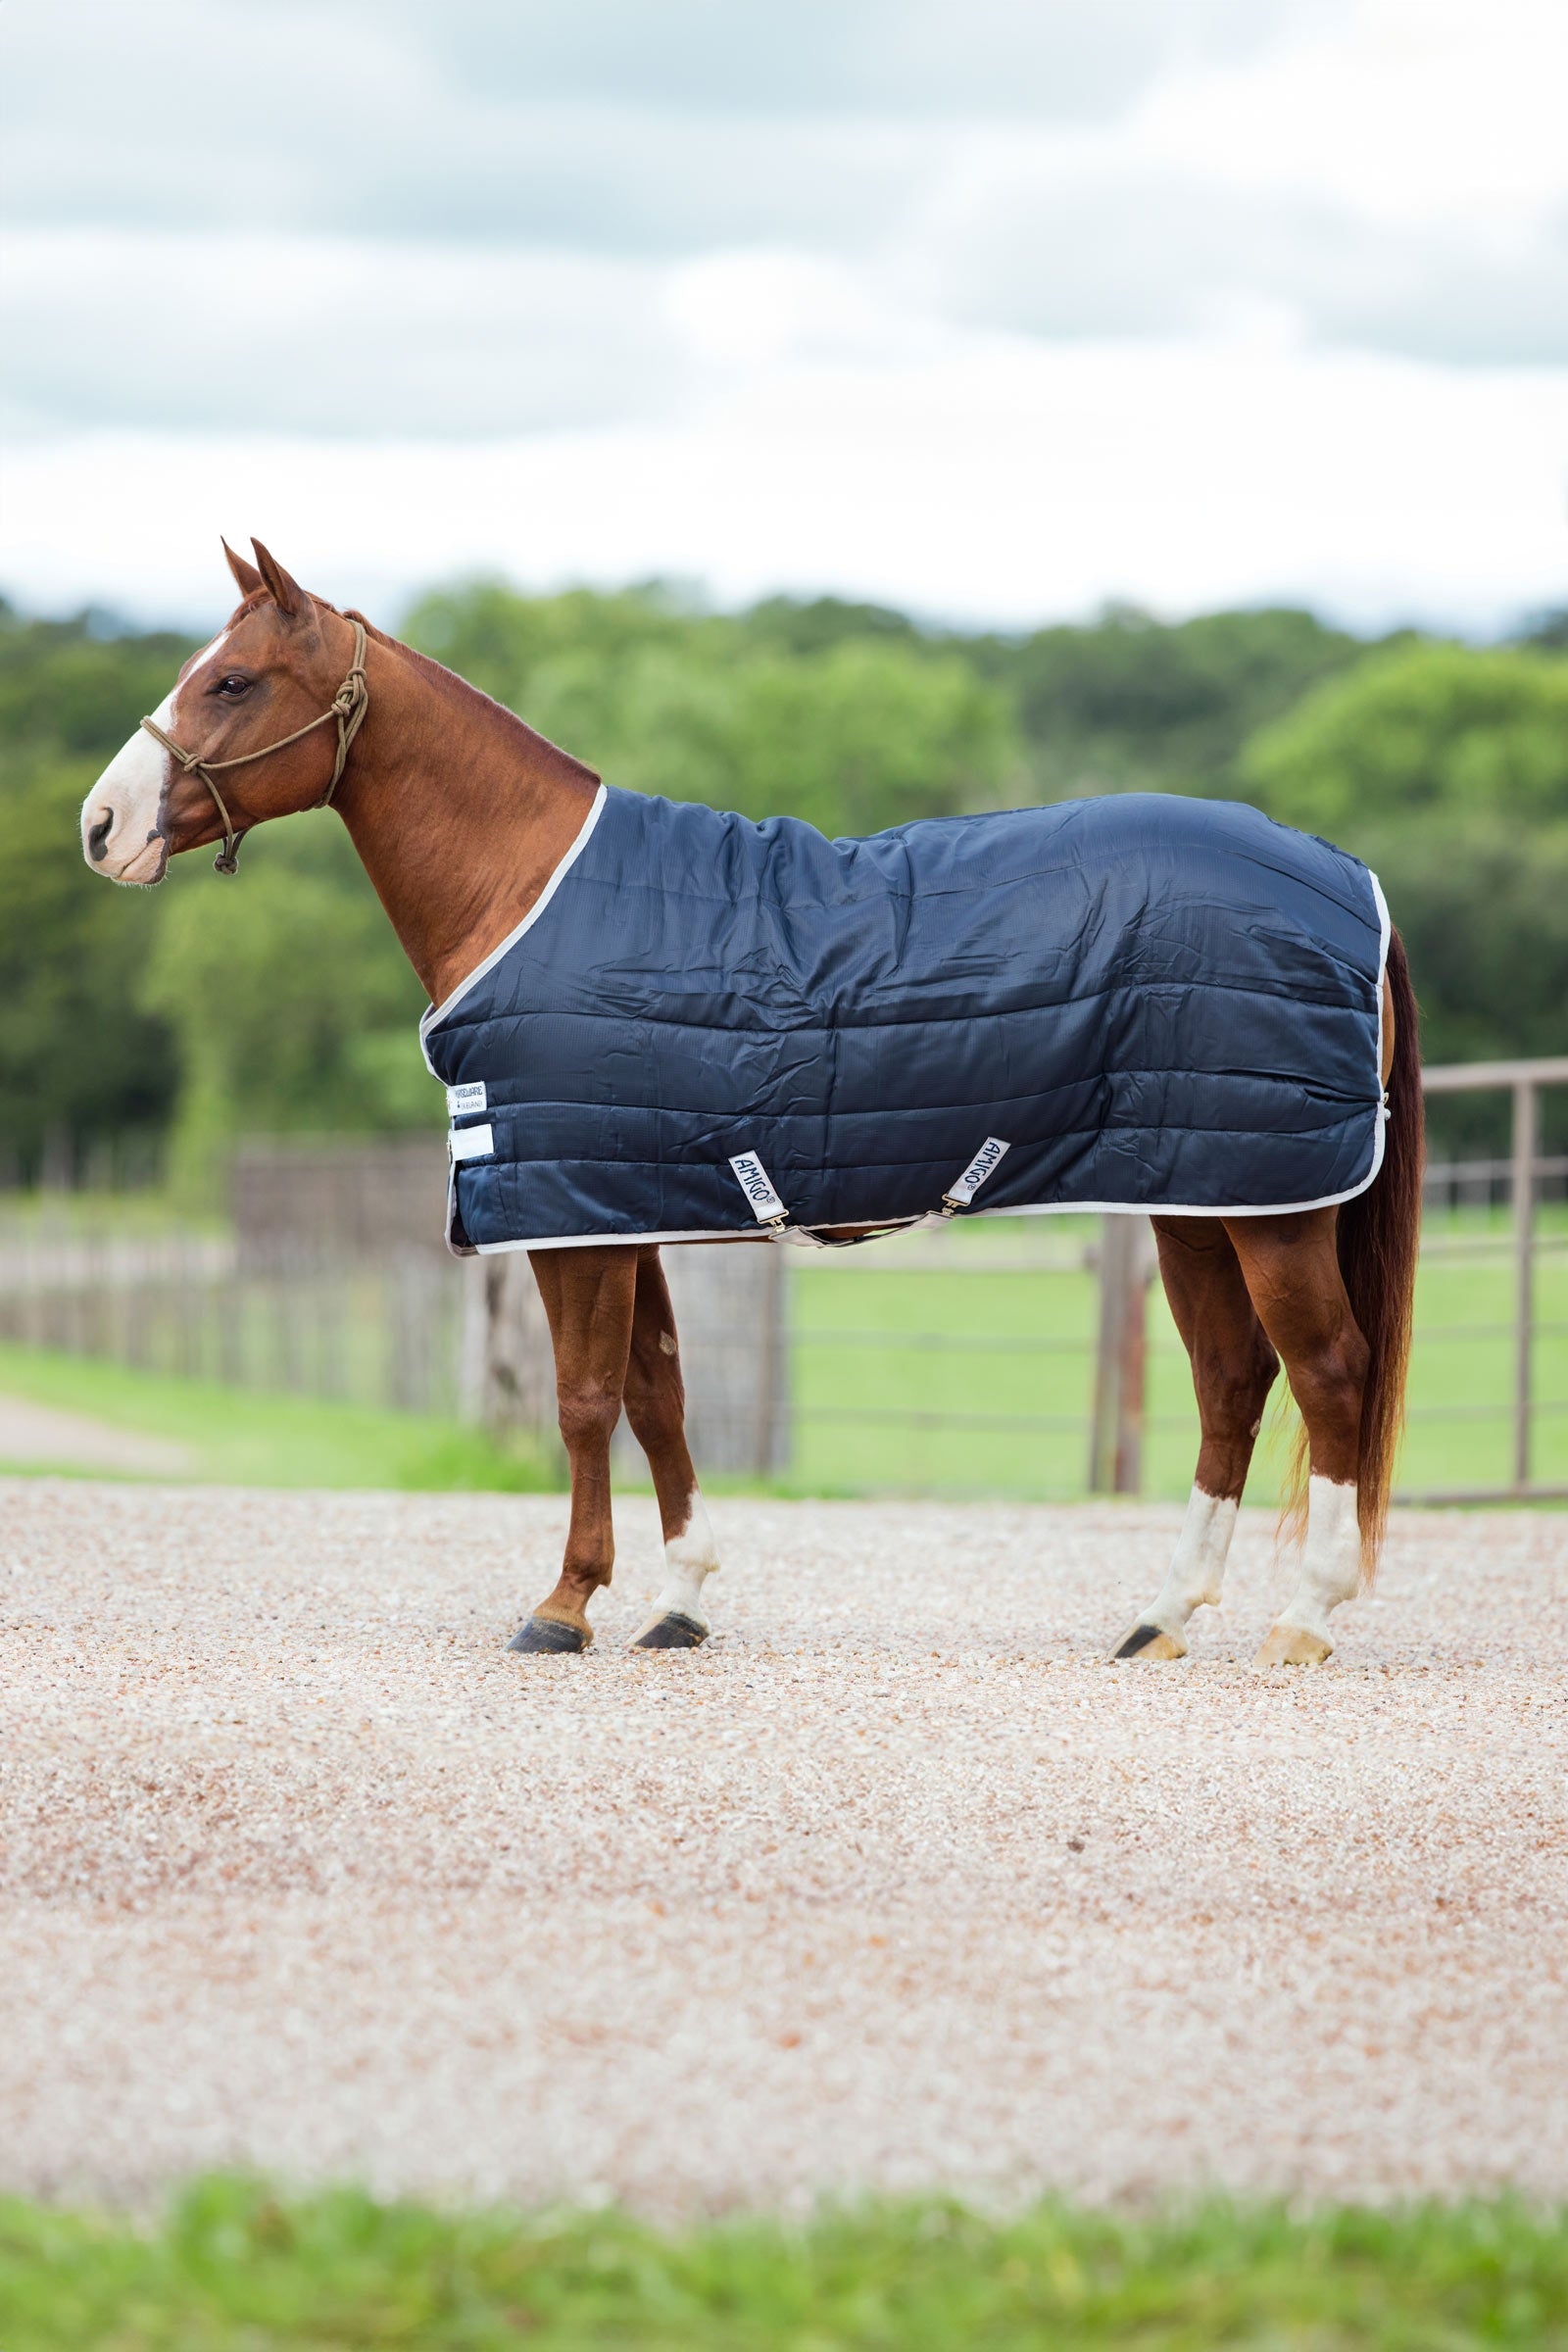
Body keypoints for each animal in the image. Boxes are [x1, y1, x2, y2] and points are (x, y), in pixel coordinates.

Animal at [82, 539, 1423, 1667]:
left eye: (234, 682)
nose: (100, 825)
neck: (532, 890)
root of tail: (1340, 872)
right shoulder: (625, 1208)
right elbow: (659, 1396)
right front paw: (676, 1602)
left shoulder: (573, 1218)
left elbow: (582, 1405)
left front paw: (563, 1607)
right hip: (1199, 1193)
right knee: (1232, 1380)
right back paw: (1161, 1618)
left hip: (1270, 1208)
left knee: (1328, 1371)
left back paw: (1305, 1620)